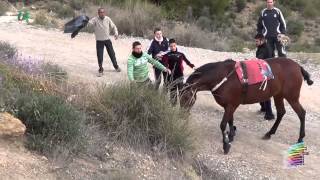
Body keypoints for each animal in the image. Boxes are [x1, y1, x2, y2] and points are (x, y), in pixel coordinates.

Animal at [181, 58, 314, 155]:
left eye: (185, 98)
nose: (182, 115)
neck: (223, 77)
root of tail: (298, 67)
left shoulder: (231, 105)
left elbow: (223, 124)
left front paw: (225, 144)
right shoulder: (230, 105)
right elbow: (230, 120)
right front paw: (231, 135)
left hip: (291, 97)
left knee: (301, 113)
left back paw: (300, 138)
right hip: (278, 95)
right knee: (281, 112)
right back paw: (269, 133)